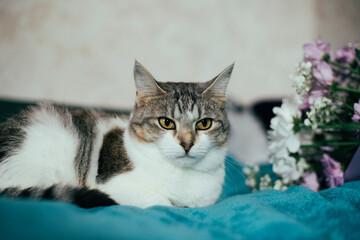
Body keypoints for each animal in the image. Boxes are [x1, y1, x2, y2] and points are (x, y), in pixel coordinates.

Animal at [0, 61, 233, 208]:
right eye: (166, 123)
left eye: (204, 124)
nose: (187, 143)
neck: (183, 176)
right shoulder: (115, 188)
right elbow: (163, 203)